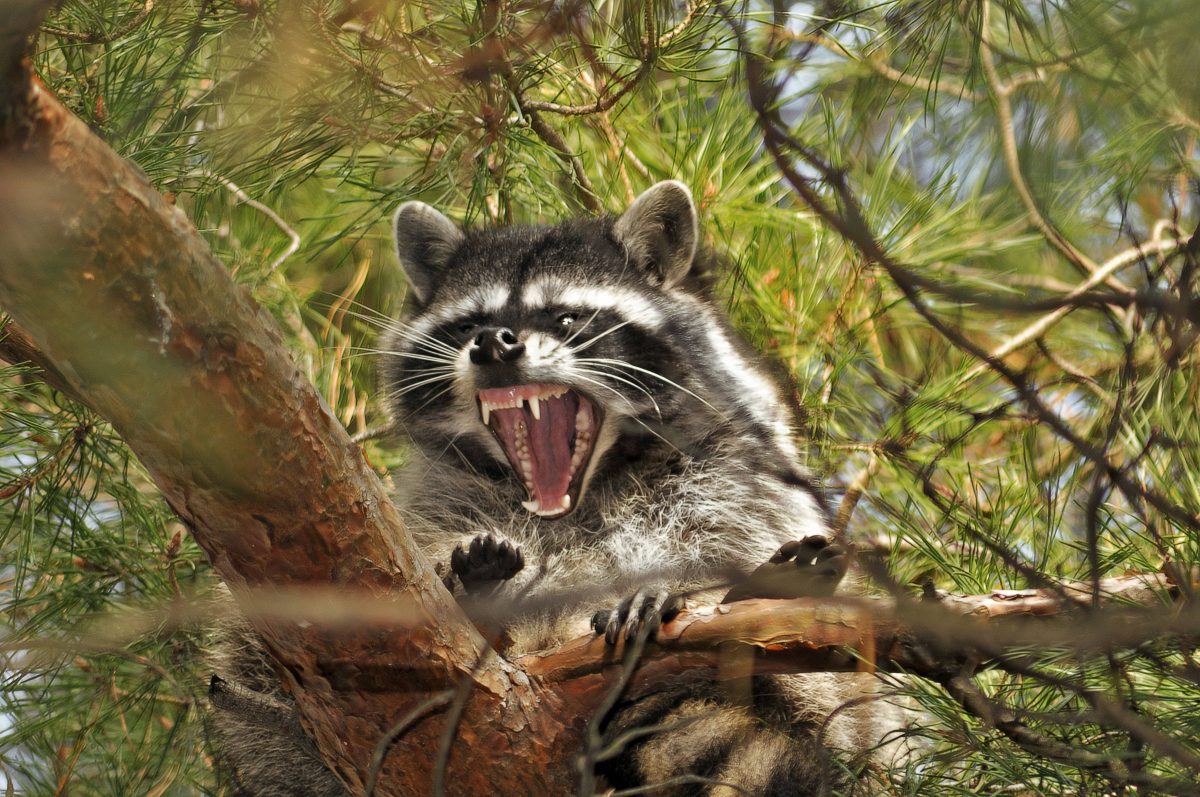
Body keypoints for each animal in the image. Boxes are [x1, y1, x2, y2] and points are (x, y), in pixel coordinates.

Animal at [206, 182, 902, 797]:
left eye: (566, 318)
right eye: (473, 324)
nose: (494, 345)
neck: (577, 498)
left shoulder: (742, 467)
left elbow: (737, 529)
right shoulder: (435, 498)